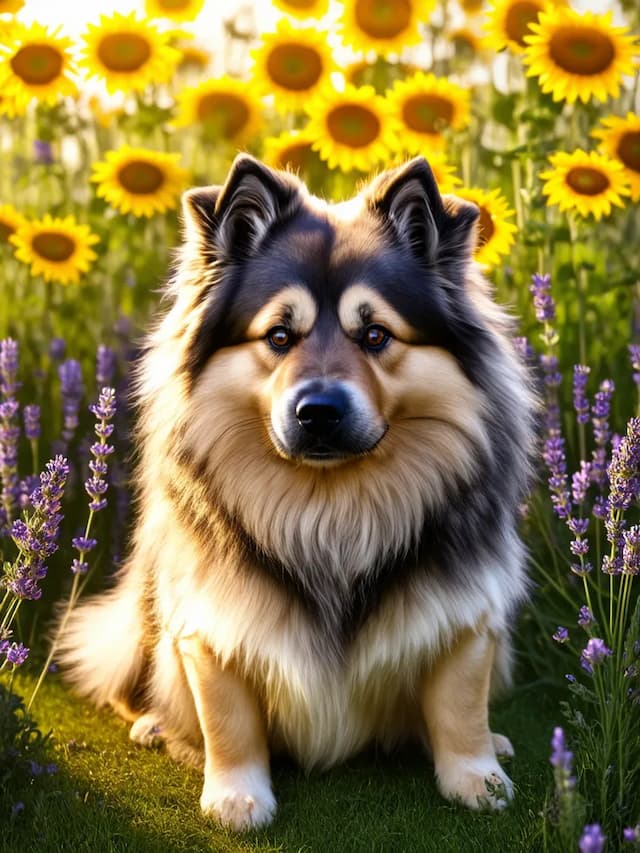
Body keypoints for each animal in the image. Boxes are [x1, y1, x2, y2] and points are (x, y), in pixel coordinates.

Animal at [61, 153, 536, 824]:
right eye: (279, 337)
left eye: (376, 335)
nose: (319, 412)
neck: (330, 509)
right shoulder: (210, 624)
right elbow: (227, 718)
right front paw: (237, 798)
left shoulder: (468, 616)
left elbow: (460, 706)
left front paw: (480, 779)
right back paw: (157, 726)